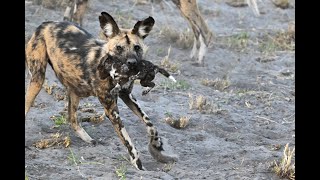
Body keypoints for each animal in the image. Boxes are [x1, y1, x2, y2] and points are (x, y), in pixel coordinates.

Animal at [26, 11, 176, 170]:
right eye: (119, 48)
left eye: (137, 47)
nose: (132, 64)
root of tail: (45, 23)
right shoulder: (111, 110)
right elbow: (127, 139)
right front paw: (138, 164)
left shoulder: (127, 95)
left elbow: (150, 123)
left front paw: (157, 146)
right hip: (37, 80)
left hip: (74, 90)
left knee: (72, 118)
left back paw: (88, 138)